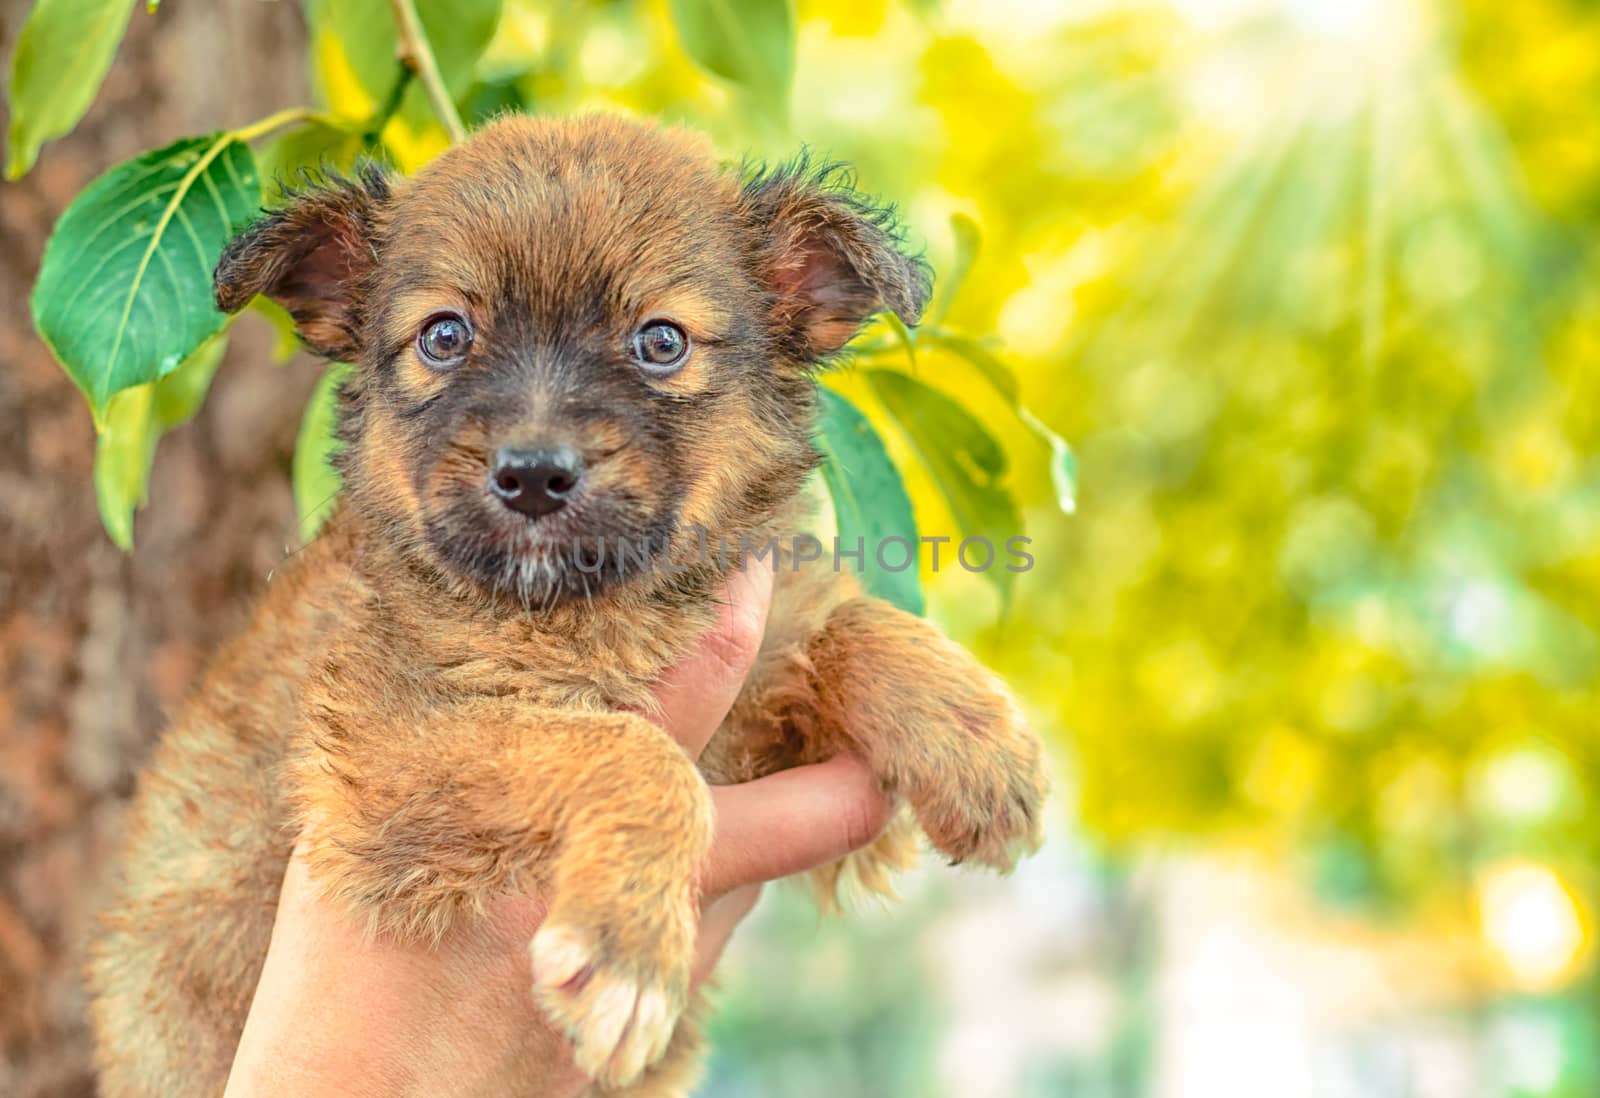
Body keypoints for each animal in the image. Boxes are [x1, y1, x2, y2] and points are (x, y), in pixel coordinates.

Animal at [84, 116, 1049, 1094]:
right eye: (444, 336)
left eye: (660, 342)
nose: (534, 475)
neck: (597, 612)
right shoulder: (390, 740)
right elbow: (631, 749)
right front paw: (629, 949)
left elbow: (835, 620)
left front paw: (975, 738)